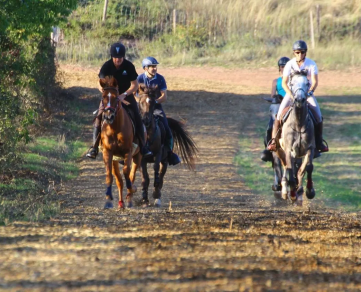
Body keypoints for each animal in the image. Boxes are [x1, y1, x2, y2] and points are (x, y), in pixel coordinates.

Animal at [100, 76, 143, 209]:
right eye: (103, 97)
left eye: (116, 97)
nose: (109, 116)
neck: (115, 128)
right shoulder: (108, 152)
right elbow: (110, 175)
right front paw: (108, 199)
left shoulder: (128, 151)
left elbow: (127, 172)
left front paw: (132, 189)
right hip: (115, 159)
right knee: (119, 180)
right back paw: (121, 202)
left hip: (137, 155)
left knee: (132, 174)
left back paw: (129, 198)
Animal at [274, 73, 314, 205]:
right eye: (291, 83)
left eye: (307, 83)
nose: (300, 100)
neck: (299, 123)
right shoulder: (288, 150)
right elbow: (290, 170)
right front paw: (291, 194)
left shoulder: (309, 149)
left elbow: (306, 169)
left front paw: (309, 192)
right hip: (279, 150)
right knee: (286, 167)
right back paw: (286, 191)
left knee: (298, 170)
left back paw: (299, 192)